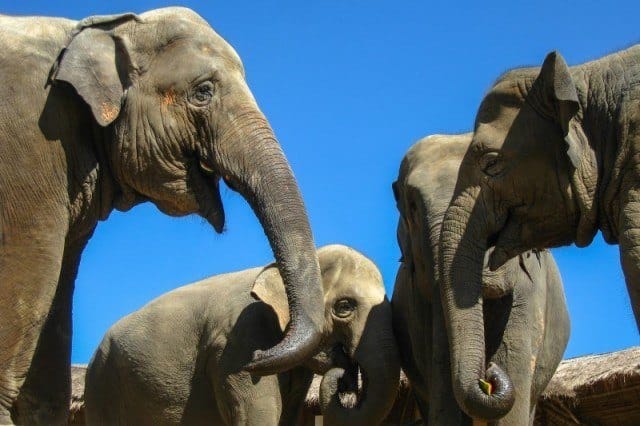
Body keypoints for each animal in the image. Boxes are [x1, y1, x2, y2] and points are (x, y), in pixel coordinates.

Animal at [0, 8, 324, 424]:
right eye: (203, 91)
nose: (257, 357)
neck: (105, 30)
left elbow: (56, 307)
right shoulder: (31, 147)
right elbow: (27, 278)